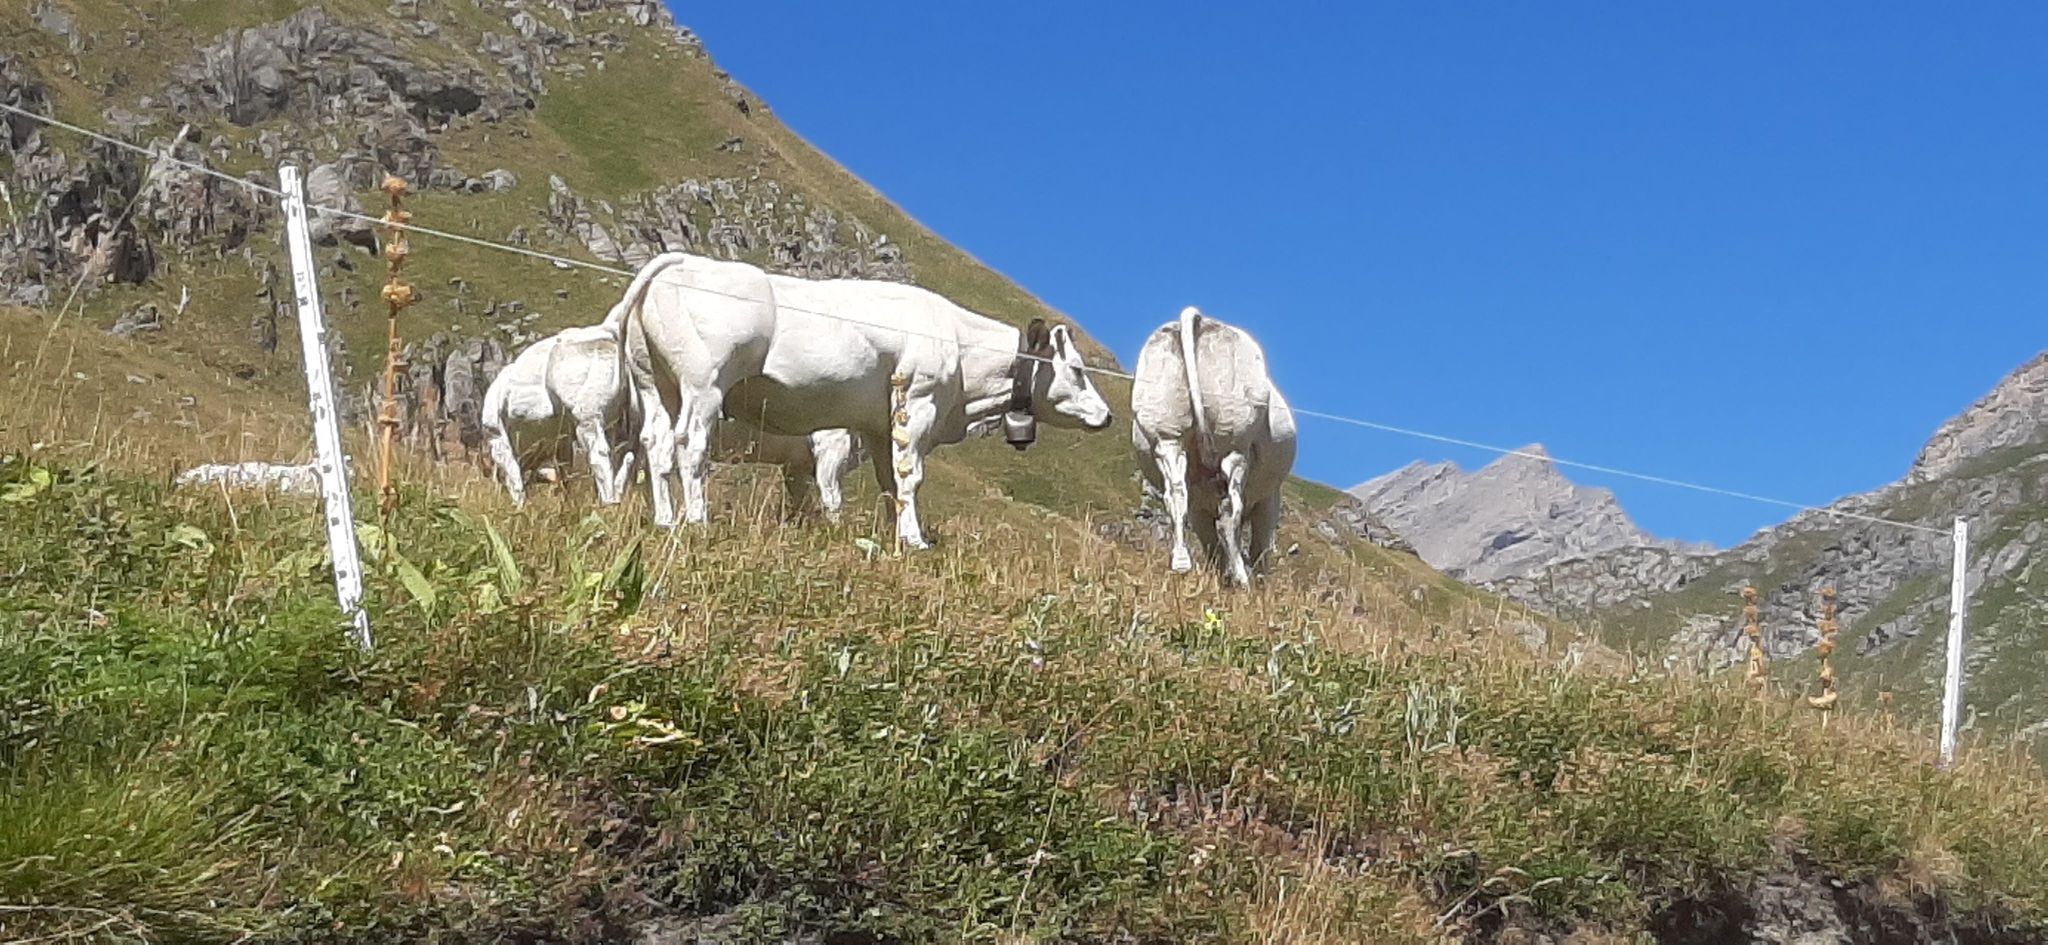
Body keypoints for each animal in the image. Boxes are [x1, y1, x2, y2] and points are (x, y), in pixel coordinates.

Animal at [608, 251, 1115, 548]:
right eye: (1076, 369)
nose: (1107, 415)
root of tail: (678, 263)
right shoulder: (917, 401)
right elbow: (909, 477)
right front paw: (915, 542)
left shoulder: (877, 425)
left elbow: (891, 481)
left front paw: (898, 536)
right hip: (704, 384)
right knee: (689, 445)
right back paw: (697, 520)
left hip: (656, 384)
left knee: (656, 446)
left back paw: (665, 520)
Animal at [1130, 306, 1297, 586]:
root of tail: (1195, 319)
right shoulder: (1268, 500)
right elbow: (1260, 545)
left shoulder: (1200, 510)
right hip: (1234, 442)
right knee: (1230, 511)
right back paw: (1242, 579)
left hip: (1166, 435)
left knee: (1177, 495)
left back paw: (1182, 564)